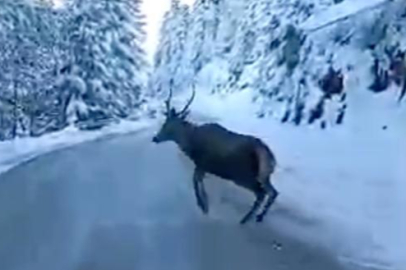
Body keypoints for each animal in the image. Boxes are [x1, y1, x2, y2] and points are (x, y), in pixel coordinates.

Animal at [152, 88, 280, 224]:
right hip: (263, 176)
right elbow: (198, 181)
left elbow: (195, 182)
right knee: (273, 192)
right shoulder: (204, 167)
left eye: (170, 126)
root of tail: (270, 158)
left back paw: (245, 219)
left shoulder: (202, 163)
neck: (192, 143)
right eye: (164, 123)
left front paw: (204, 206)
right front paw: (204, 204)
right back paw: (259, 217)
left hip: (243, 175)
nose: (155, 138)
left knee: (261, 193)